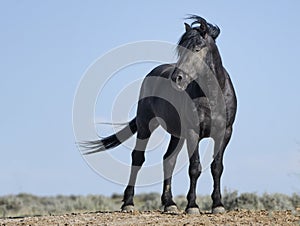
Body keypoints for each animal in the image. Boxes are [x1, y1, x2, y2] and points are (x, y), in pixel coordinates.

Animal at [82, 15, 237, 214]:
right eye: (181, 51)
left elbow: (217, 167)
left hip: (177, 135)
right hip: (145, 125)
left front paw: (218, 205)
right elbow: (195, 167)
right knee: (138, 158)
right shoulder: (193, 132)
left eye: (197, 49)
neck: (212, 95)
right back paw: (128, 203)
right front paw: (192, 206)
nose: (177, 78)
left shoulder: (224, 133)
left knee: (168, 160)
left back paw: (169, 204)